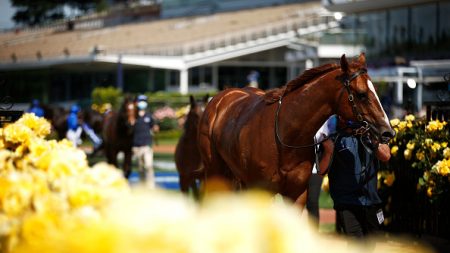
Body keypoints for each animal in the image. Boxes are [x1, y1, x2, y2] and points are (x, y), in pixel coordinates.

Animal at [197, 52, 394, 208]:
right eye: (362, 94)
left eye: (375, 90)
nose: (388, 132)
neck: (284, 138)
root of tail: (221, 98)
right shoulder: (262, 191)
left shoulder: (297, 194)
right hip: (215, 171)